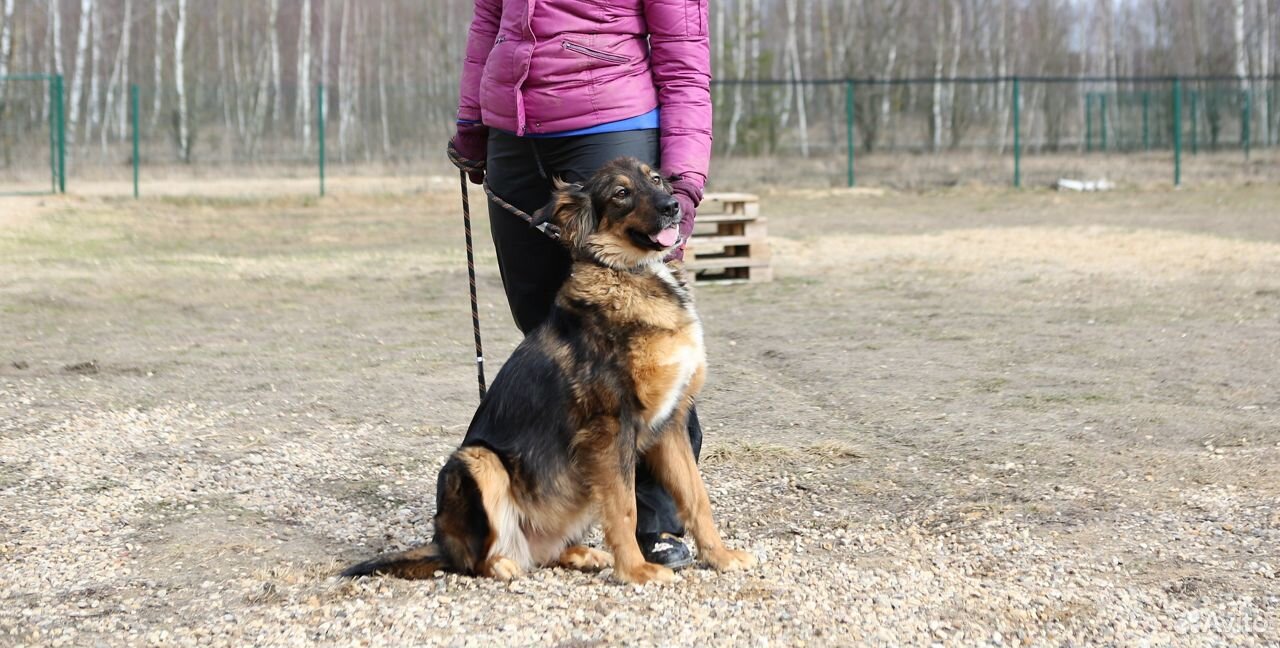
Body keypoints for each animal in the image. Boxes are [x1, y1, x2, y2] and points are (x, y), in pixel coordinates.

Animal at [343, 158, 747, 586]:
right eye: (621, 193)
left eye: (655, 179)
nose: (673, 206)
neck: (627, 273)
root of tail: (442, 542)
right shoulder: (610, 428)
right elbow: (625, 508)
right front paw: (636, 571)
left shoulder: (670, 423)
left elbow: (697, 498)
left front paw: (720, 557)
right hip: (477, 461)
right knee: (473, 559)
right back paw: (502, 563)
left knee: (547, 551)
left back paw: (583, 553)